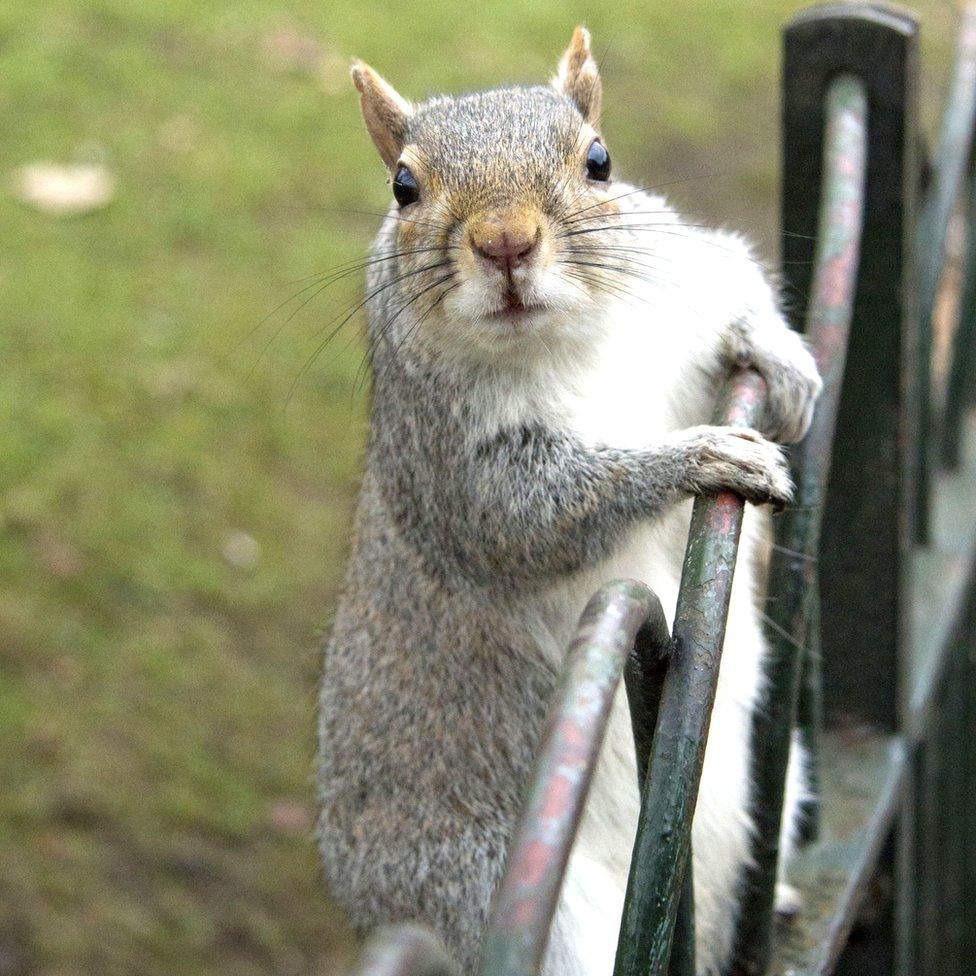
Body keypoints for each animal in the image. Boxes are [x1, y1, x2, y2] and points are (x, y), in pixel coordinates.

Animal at [316, 28, 820, 976]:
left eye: (599, 160)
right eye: (403, 187)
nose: (506, 242)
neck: (573, 339)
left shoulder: (685, 281)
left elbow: (736, 281)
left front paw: (783, 355)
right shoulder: (453, 463)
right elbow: (531, 519)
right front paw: (706, 453)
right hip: (516, 907)